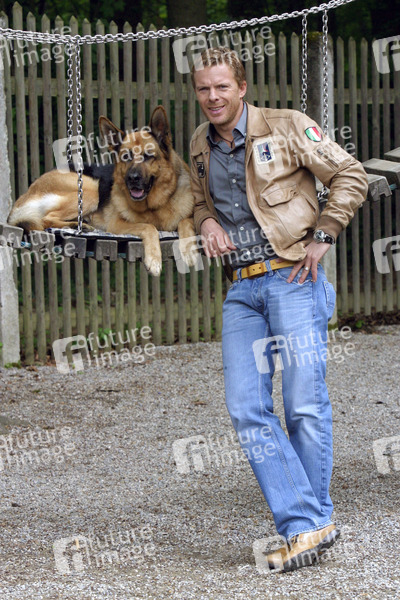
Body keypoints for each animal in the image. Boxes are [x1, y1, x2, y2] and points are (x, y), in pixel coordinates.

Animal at [8, 106, 198, 276]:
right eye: (126, 157)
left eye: (148, 156)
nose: (132, 179)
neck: (156, 206)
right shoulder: (118, 225)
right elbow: (149, 227)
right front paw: (154, 259)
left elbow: (185, 221)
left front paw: (189, 250)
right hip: (90, 190)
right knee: (46, 219)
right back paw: (76, 226)